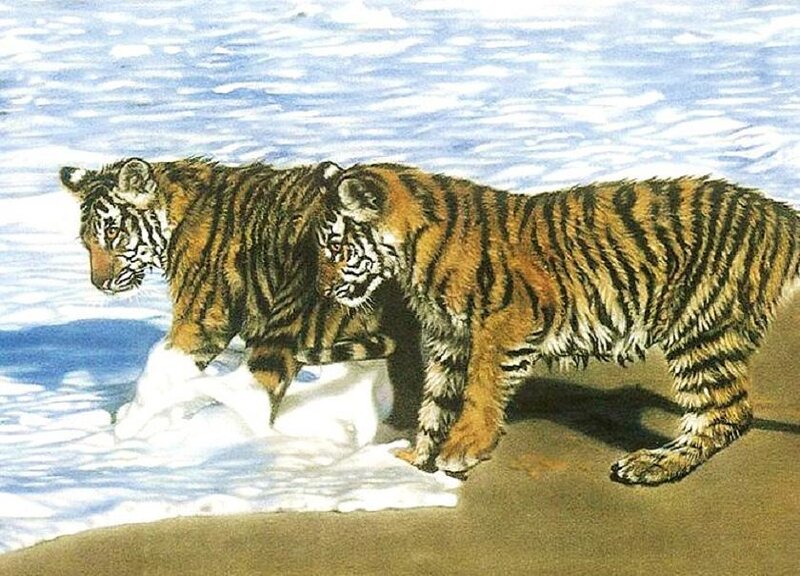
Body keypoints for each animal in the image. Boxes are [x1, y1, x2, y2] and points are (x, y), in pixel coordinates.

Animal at [59, 157, 394, 428]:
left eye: (112, 232)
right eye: (86, 243)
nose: (99, 283)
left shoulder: (201, 320)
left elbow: (157, 368)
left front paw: (124, 425)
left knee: (254, 398)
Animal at [314, 162, 800, 485]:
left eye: (336, 247)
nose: (322, 290)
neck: (411, 256)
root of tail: (777, 212)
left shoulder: (508, 322)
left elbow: (481, 387)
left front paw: (462, 448)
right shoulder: (448, 339)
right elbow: (435, 403)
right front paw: (418, 460)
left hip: (700, 328)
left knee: (725, 413)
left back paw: (650, 465)